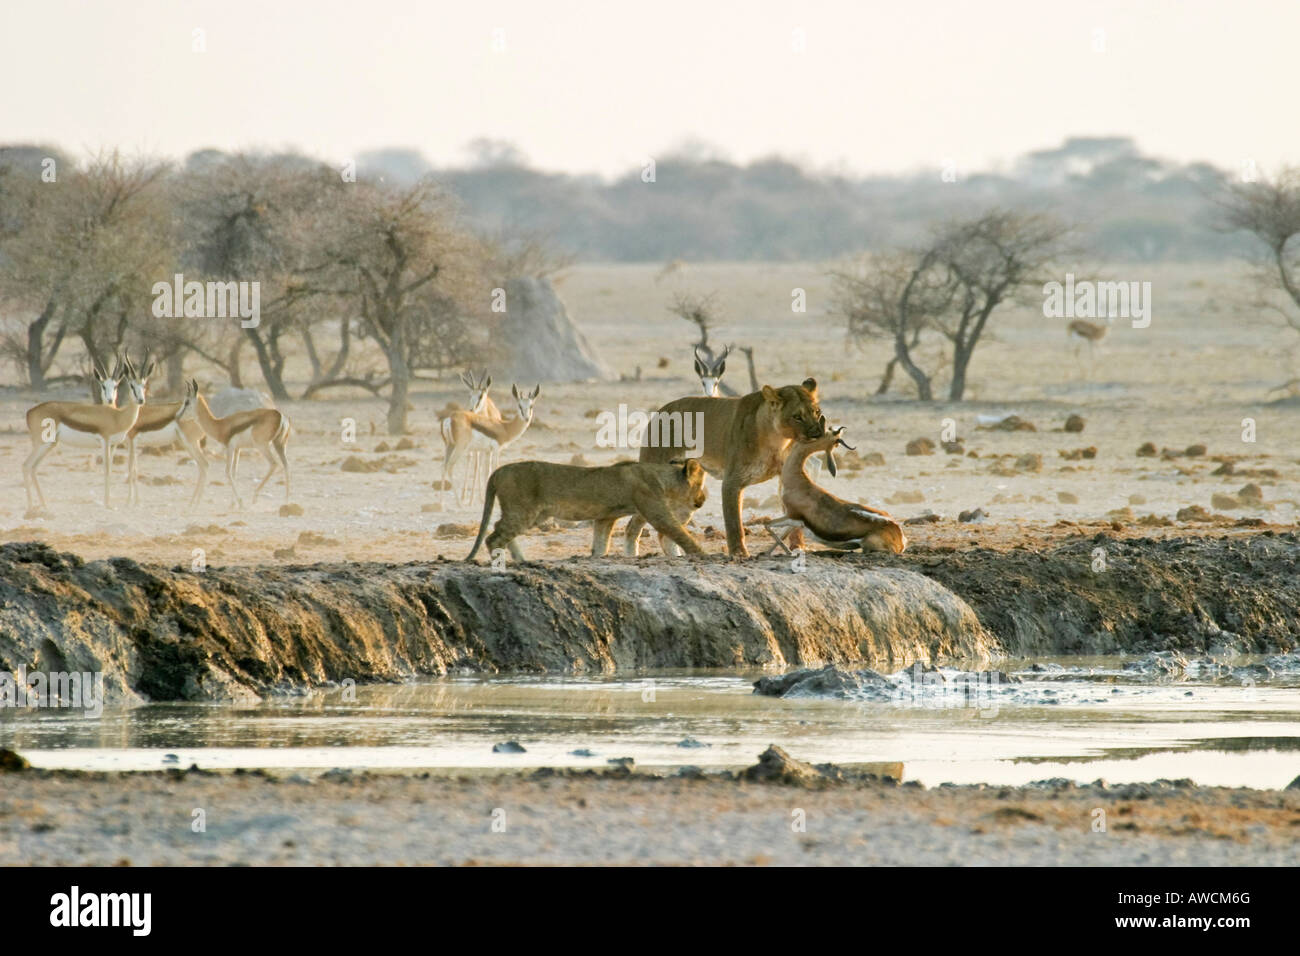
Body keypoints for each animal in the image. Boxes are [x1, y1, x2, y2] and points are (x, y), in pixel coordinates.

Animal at [22, 356, 149, 512]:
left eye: (144, 385)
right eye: (131, 385)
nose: (141, 400)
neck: (117, 416)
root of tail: (30, 412)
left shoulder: (113, 444)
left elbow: (113, 469)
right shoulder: (105, 441)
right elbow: (107, 469)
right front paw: (107, 504)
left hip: (49, 445)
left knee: (33, 467)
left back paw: (44, 505)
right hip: (42, 444)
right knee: (26, 465)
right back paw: (31, 506)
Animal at [124, 356, 213, 509]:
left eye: (144, 385)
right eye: (131, 385)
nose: (141, 400)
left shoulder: (133, 441)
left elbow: (131, 469)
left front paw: (131, 501)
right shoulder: (130, 445)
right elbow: (134, 469)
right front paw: (134, 501)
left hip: (190, 443)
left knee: (204, 464)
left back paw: (195, 504)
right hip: (188, 444)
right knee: (202, 466)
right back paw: (192, 503)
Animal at [188, 379, 292, 509]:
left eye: (186, 402)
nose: (177, 415)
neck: (220, 425)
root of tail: (280, 416)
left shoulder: (230, 448)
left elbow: (228, 472)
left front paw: (240, 502)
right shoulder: (238, 449)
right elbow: (234, 473)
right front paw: (233, 504)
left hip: (262, 446)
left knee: (274, 464)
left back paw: (255, 496)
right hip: (280, 444)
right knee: (287, 466)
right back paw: (286, 501)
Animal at [759, 421, 904, 556]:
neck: (798, 482)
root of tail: (899, 535)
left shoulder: (791, 516)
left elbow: (767, 524)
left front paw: (787, 553)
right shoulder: (795, 522)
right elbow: (780, 534)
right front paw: (768, 553)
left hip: (869, 546)